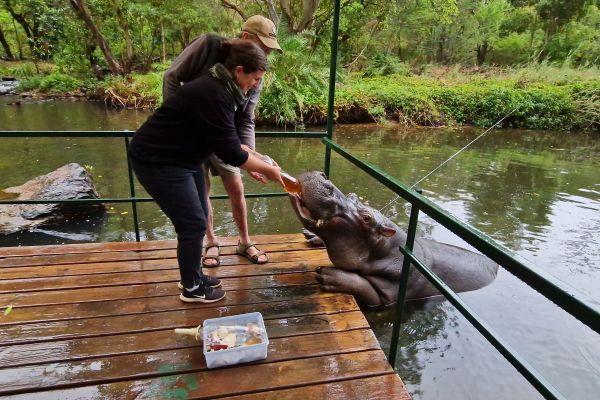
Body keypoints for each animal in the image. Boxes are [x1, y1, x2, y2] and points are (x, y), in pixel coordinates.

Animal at [288, 170, 500, 308]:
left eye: (367, 218)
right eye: (352, 195)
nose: (325, 177)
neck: (386, 250)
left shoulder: (389, 295)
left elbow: (366, 288)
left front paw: (328, 275)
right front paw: (313, 237)